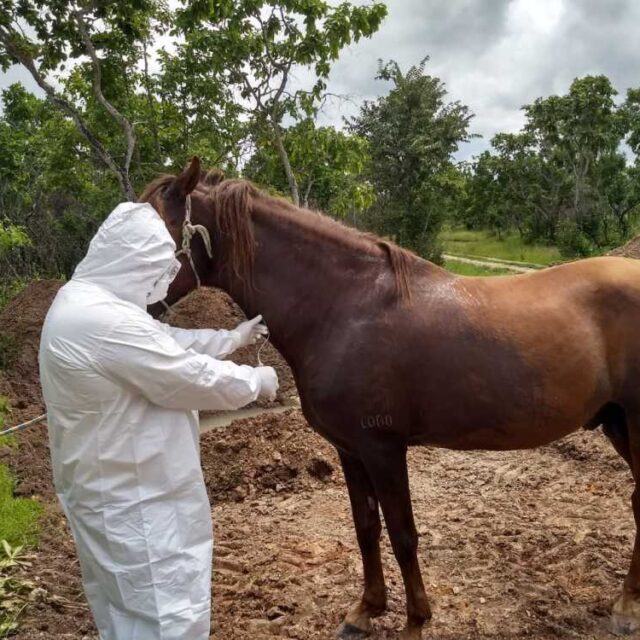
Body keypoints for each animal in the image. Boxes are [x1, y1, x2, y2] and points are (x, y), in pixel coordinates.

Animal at [141, 159, 640, 640]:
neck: (344, 309)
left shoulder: (383, 448)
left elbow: (403, 534)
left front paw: (415, 621)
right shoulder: (349, 449)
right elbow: (366, 528)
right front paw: (365, 611)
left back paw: (624, 609)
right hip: (617, 425)